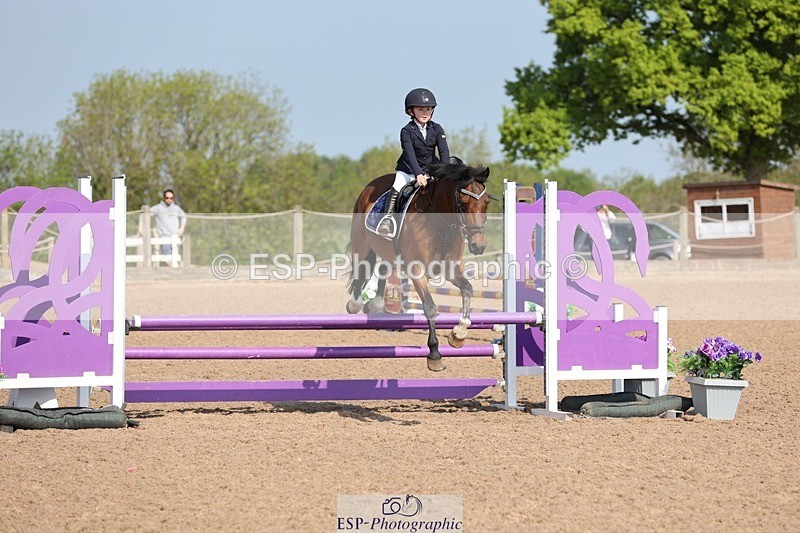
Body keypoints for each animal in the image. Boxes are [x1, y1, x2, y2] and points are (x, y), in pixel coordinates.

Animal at [346, 159, 494, 372]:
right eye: (464, 204)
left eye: (486, 203)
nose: (478, 245)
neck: (442, 223)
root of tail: (370, 187)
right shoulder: (417, 271)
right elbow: (430, 307)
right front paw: (434, 355)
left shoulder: (450, 268)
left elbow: (467, 289)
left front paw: (458, 334)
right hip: (362, 244)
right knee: (361, 271)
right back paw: (355, 304)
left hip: (390, 253)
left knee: (382, 269)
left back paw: (375, 304)